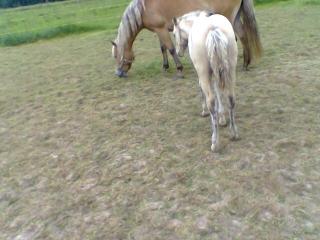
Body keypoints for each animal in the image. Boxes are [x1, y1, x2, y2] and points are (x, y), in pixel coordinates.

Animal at [111, 0, 262, 77]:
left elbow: (171, 49)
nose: (118, 73)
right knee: (243, 36)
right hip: (234, 19)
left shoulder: (161, 30)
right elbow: (163, 48)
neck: (144, 8)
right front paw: (165, 67)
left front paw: (179, 69)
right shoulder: (159, 30)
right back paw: (245, 64)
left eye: (118, 56)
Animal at [174, 12, 239, 151]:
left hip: (204, 72)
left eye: (174, 34)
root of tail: (213, 29)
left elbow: (203, 90)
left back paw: (215, 142)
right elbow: (218, 91)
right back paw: (234, 133)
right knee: (231, 98)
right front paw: (222, 118)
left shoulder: (202, 74)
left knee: (211, 102)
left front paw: (204, 112)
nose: (178, 52)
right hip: (230, 70)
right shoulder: (217, 72)